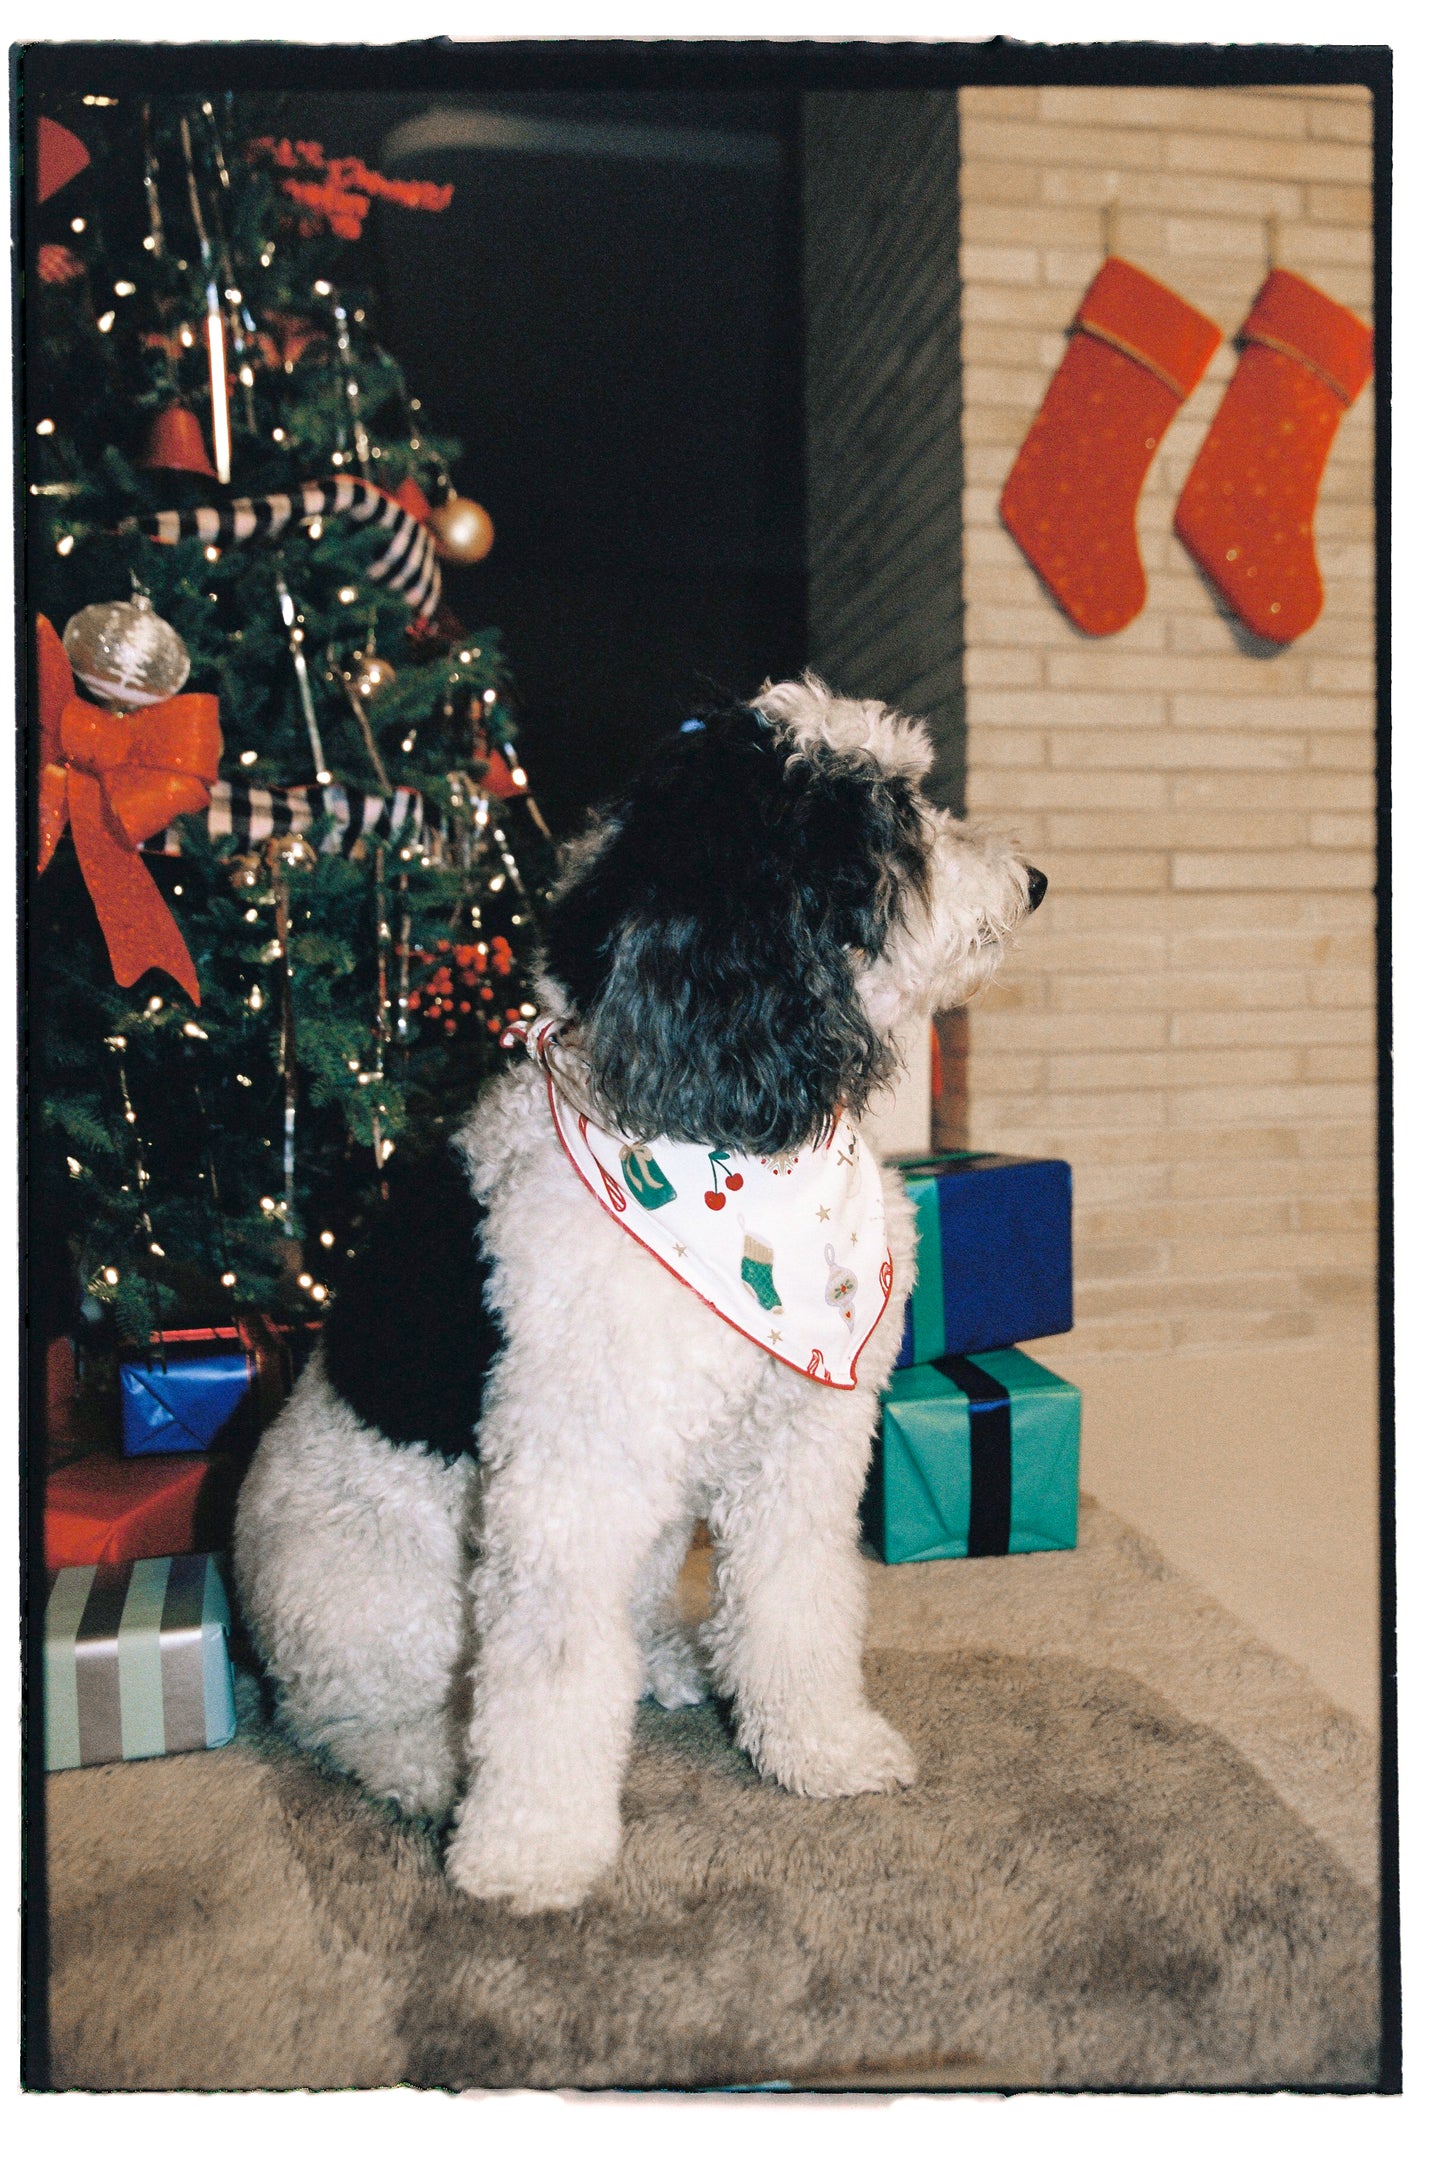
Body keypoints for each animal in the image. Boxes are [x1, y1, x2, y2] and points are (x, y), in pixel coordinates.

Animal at [239, 673, 1049, 1909]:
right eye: (888, 817)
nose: (1034, 879)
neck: (723, 1138)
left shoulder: (801, 1445)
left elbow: (796, 1608)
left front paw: (819, 1748)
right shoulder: (567, 1477)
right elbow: (550, 1676)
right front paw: (530, 1852)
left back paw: (671, 1663)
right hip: (356, 1596)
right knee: (346, 1723)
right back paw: (434, 1769)